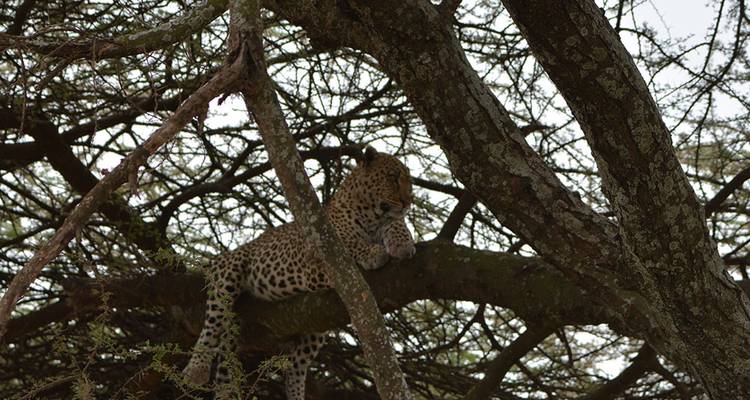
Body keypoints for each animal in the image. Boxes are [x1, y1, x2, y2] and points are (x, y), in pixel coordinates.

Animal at [182, 146, 416, 399]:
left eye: (409, 180)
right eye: (392, 177)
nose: (409, 201)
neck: (372, 216)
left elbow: (396, 223)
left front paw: (402, 242)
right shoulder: (318, 259)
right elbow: (349, 246)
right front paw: (373, 253)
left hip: (318, 324)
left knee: (295, 366)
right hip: (229, 271)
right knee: (213, 323)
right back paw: (196, 369)